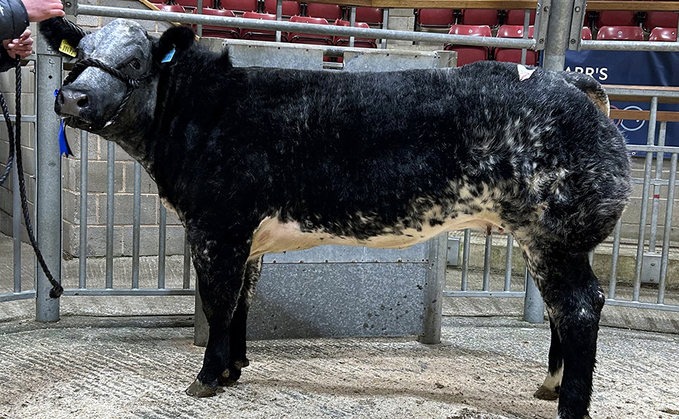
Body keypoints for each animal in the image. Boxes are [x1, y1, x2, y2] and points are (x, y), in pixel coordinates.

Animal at [41, 18, 632, 418]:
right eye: (77, 56)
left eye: (135, 63)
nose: (72, 96)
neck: (201, 113)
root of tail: (569, 83)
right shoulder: (249, 238)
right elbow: (241, 302)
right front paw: (235, 369)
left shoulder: (216, 226)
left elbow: (217, 301)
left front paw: (207, 377)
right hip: (547, 239)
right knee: (564, 309)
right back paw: (549, 385)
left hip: (554, 233)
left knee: (579, 307)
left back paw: (570, 404)